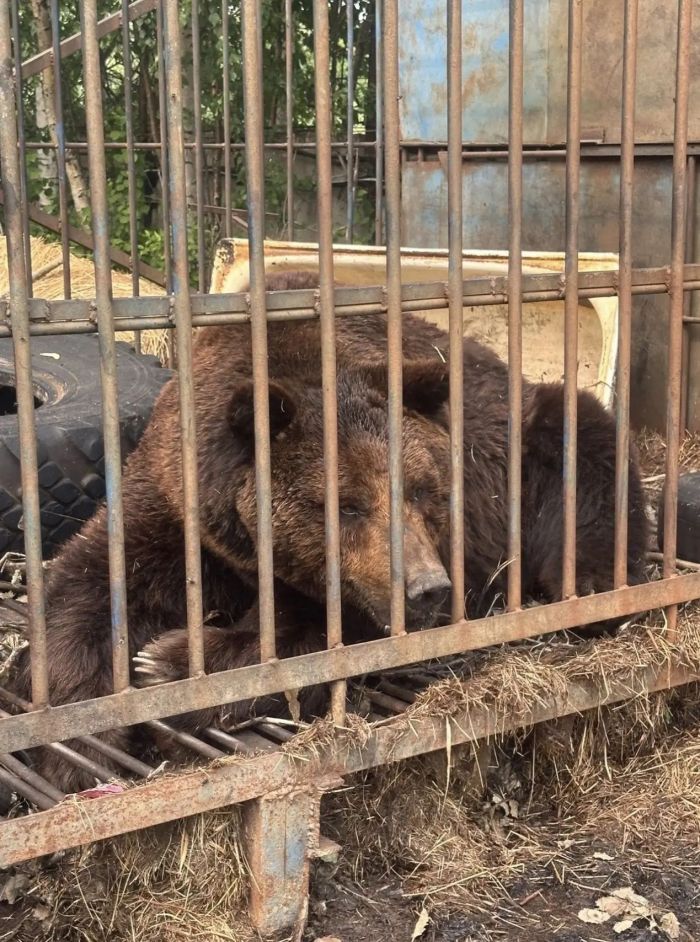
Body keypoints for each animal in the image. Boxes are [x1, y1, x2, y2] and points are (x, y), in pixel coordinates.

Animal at [7, 270, 648, 792]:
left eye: (423, 490)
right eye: (348, 505)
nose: (426, 587)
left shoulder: (442, 544)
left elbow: (319, 643)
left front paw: (167, 660)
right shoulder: (177, 503)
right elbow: (90, 584)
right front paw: (79, 749)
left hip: (530, 440)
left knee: (585, 444)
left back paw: (591, 584)